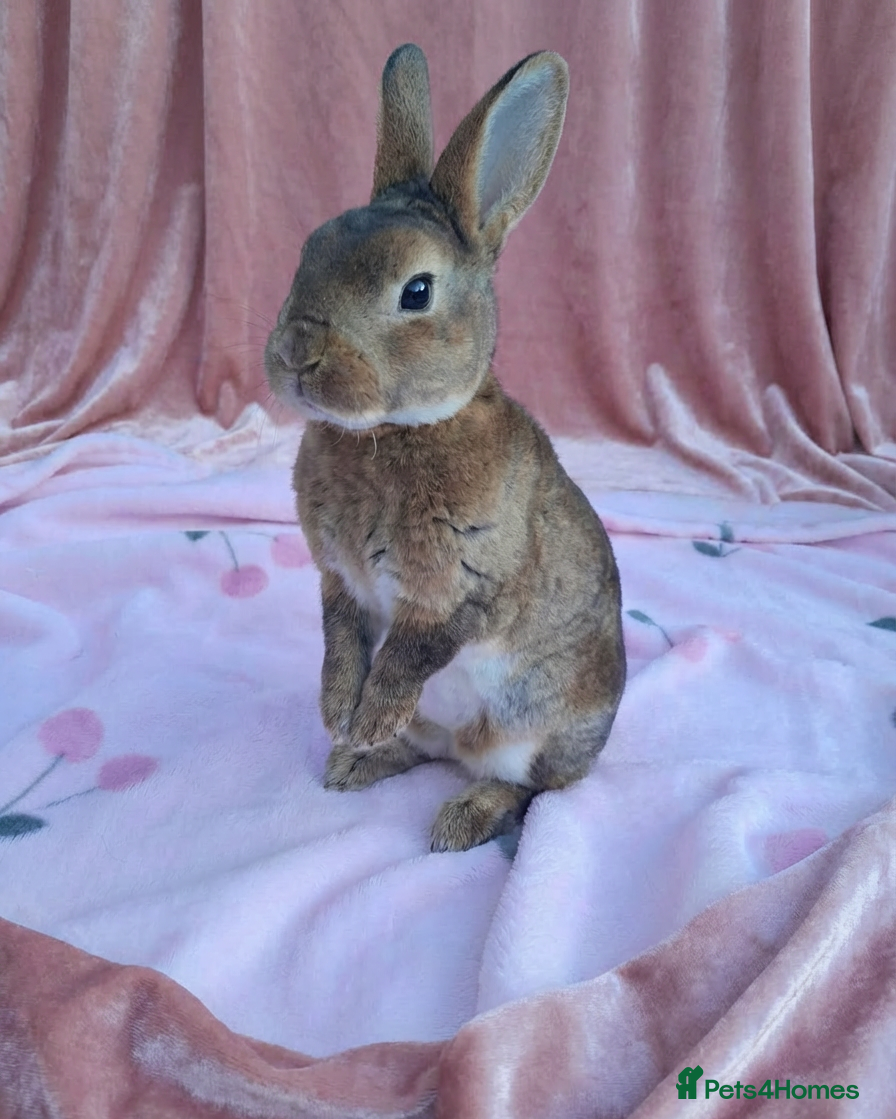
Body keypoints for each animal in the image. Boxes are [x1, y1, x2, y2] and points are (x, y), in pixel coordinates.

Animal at [265, 44, 626, 853]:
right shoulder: (342, 582)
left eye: (417, 291)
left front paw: (366, 716)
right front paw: (342, 717)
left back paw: (459, 820)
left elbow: (409, 654)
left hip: (534, 728)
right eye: (307, 251)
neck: (400, 428)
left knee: (526, 788)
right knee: (430, 750)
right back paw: (355, 763)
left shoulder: (465, 591)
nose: (297, 352)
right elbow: (342, 643)